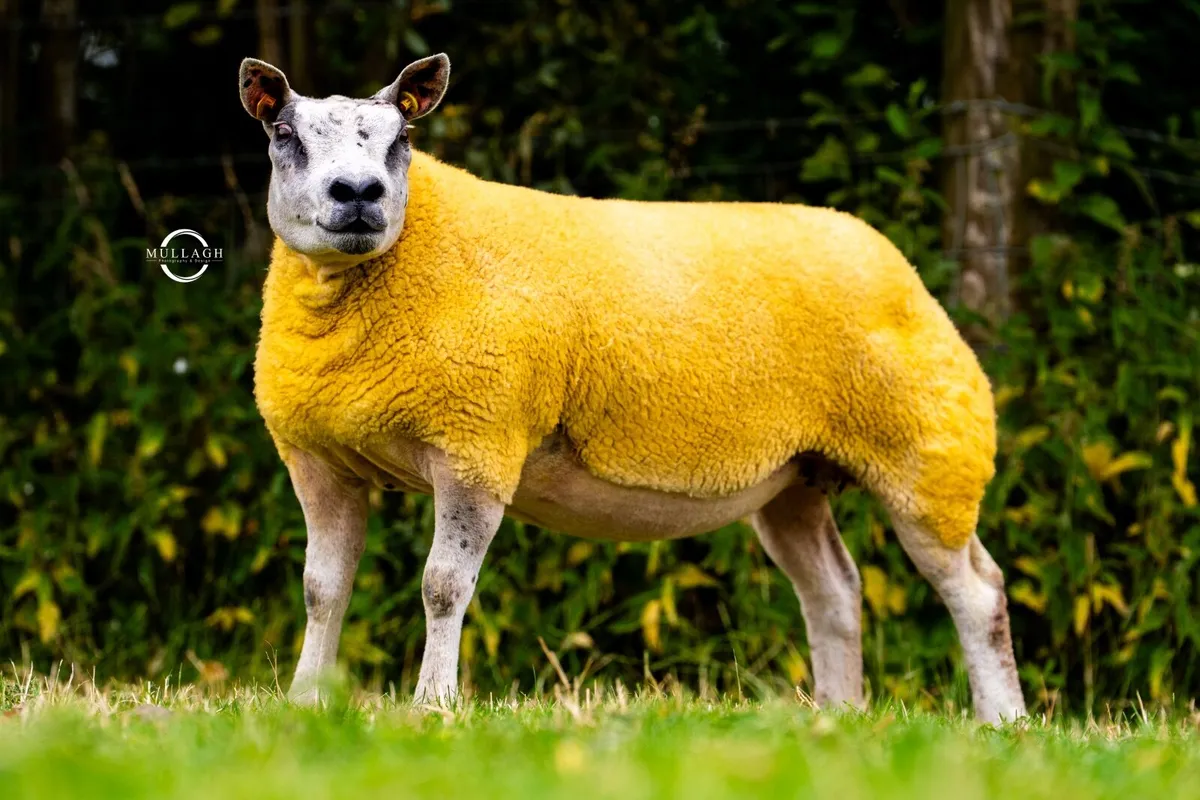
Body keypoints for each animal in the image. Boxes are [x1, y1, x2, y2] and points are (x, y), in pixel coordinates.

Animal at [238, 52, 1026, 723]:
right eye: (284, 133)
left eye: (402, 137)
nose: (359, 194)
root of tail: (891, 259)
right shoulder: (319, 461)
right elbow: (322, 589)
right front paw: (303, 704)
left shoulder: (477, 445)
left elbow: (442, 585)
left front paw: (434, 706)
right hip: (796, 478)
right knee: (835, 590)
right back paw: (837, 716)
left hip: (929, 452)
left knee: (977, 590)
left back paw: (1002, 721)